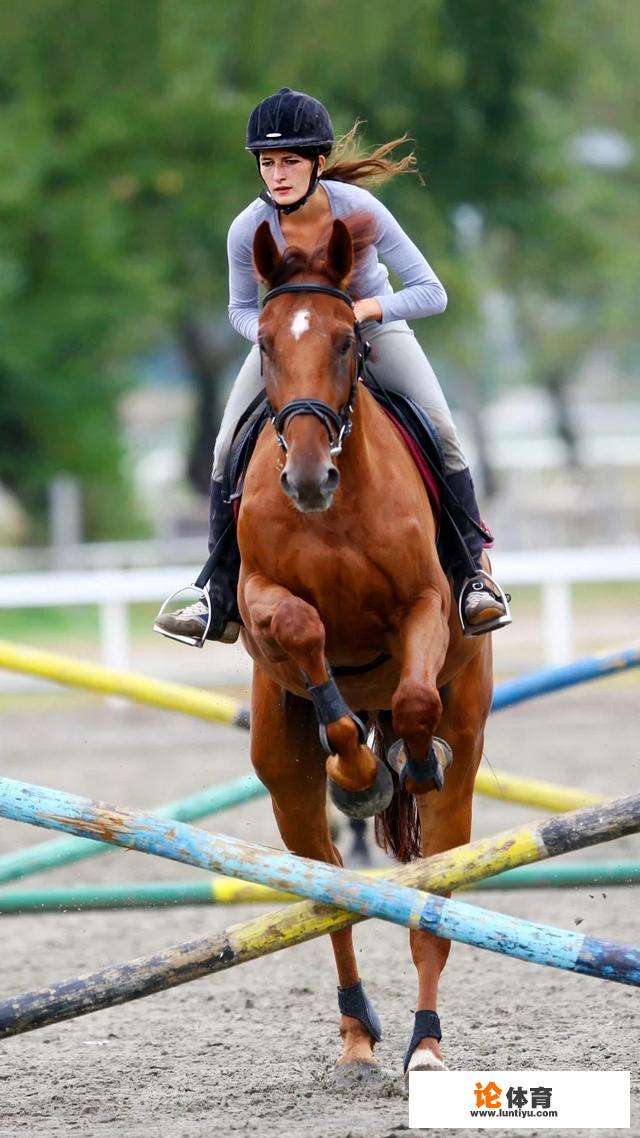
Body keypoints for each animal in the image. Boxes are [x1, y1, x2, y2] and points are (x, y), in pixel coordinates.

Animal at [236, 215, 489, 1083]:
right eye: (265, 342)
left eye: (349, 339)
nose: (308, 477)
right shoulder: (259, 597)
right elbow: (304, 631)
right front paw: (356, 776)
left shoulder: (426, 606)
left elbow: (412, 696)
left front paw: (401, 765)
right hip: (283, 778)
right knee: (332, 894)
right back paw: (357, 1031)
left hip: (468, 750)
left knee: (433, 894)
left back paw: (427, 1042)